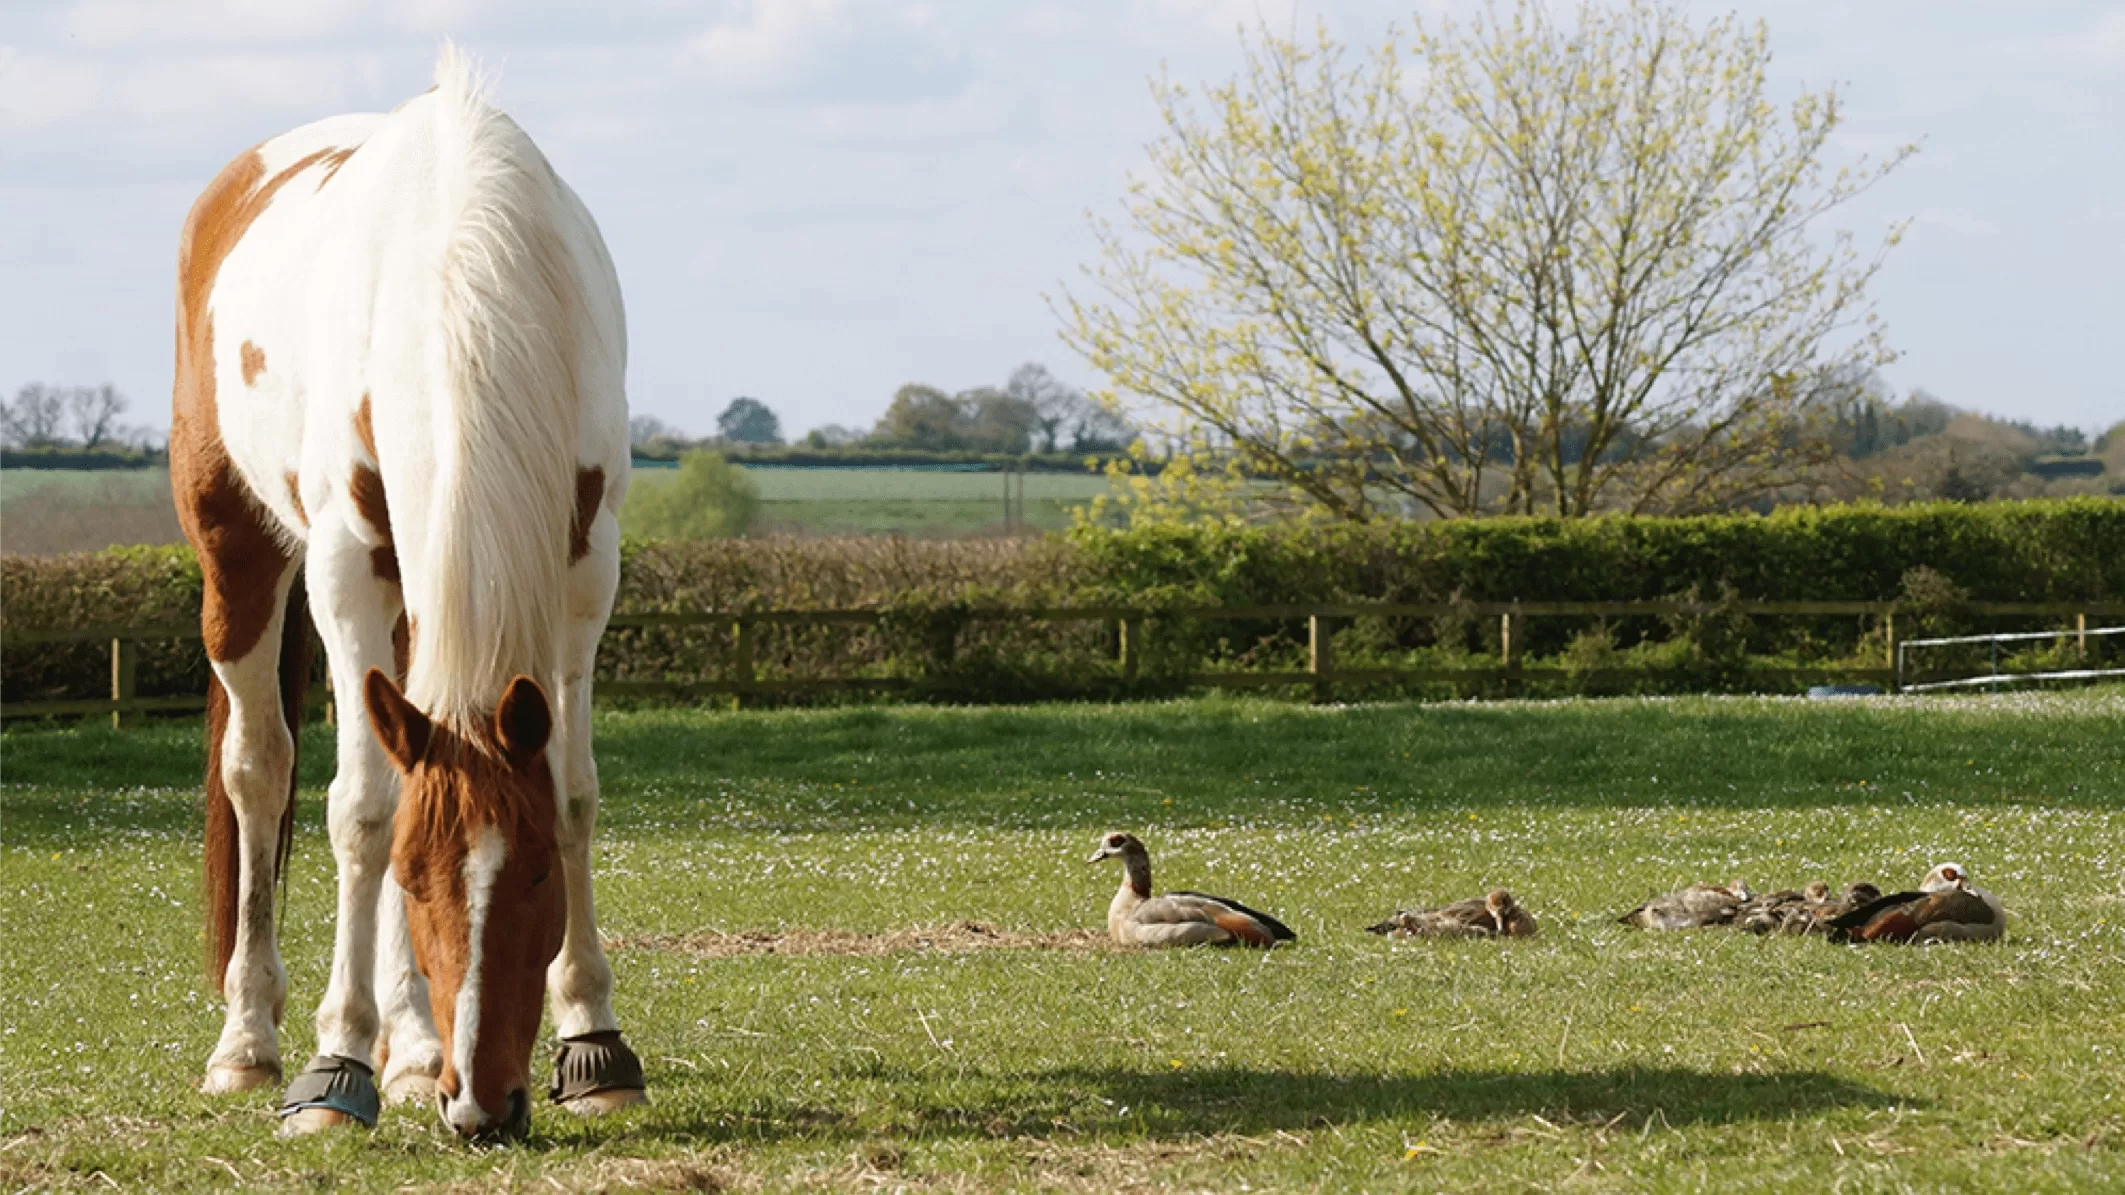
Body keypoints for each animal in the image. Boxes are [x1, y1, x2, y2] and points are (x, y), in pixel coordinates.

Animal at [167, 51, 637, 1139]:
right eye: (420, 878)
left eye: (539, 871)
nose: (484, 1104)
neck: (464, 273)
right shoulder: (345, 567)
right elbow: (361, 811)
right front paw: (336, 1065)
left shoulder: (587, 562)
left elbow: (576, 787)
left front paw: (593, 1041)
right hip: (237, 556)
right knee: (260, 771)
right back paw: (254, 1041)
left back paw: (417, 1048)